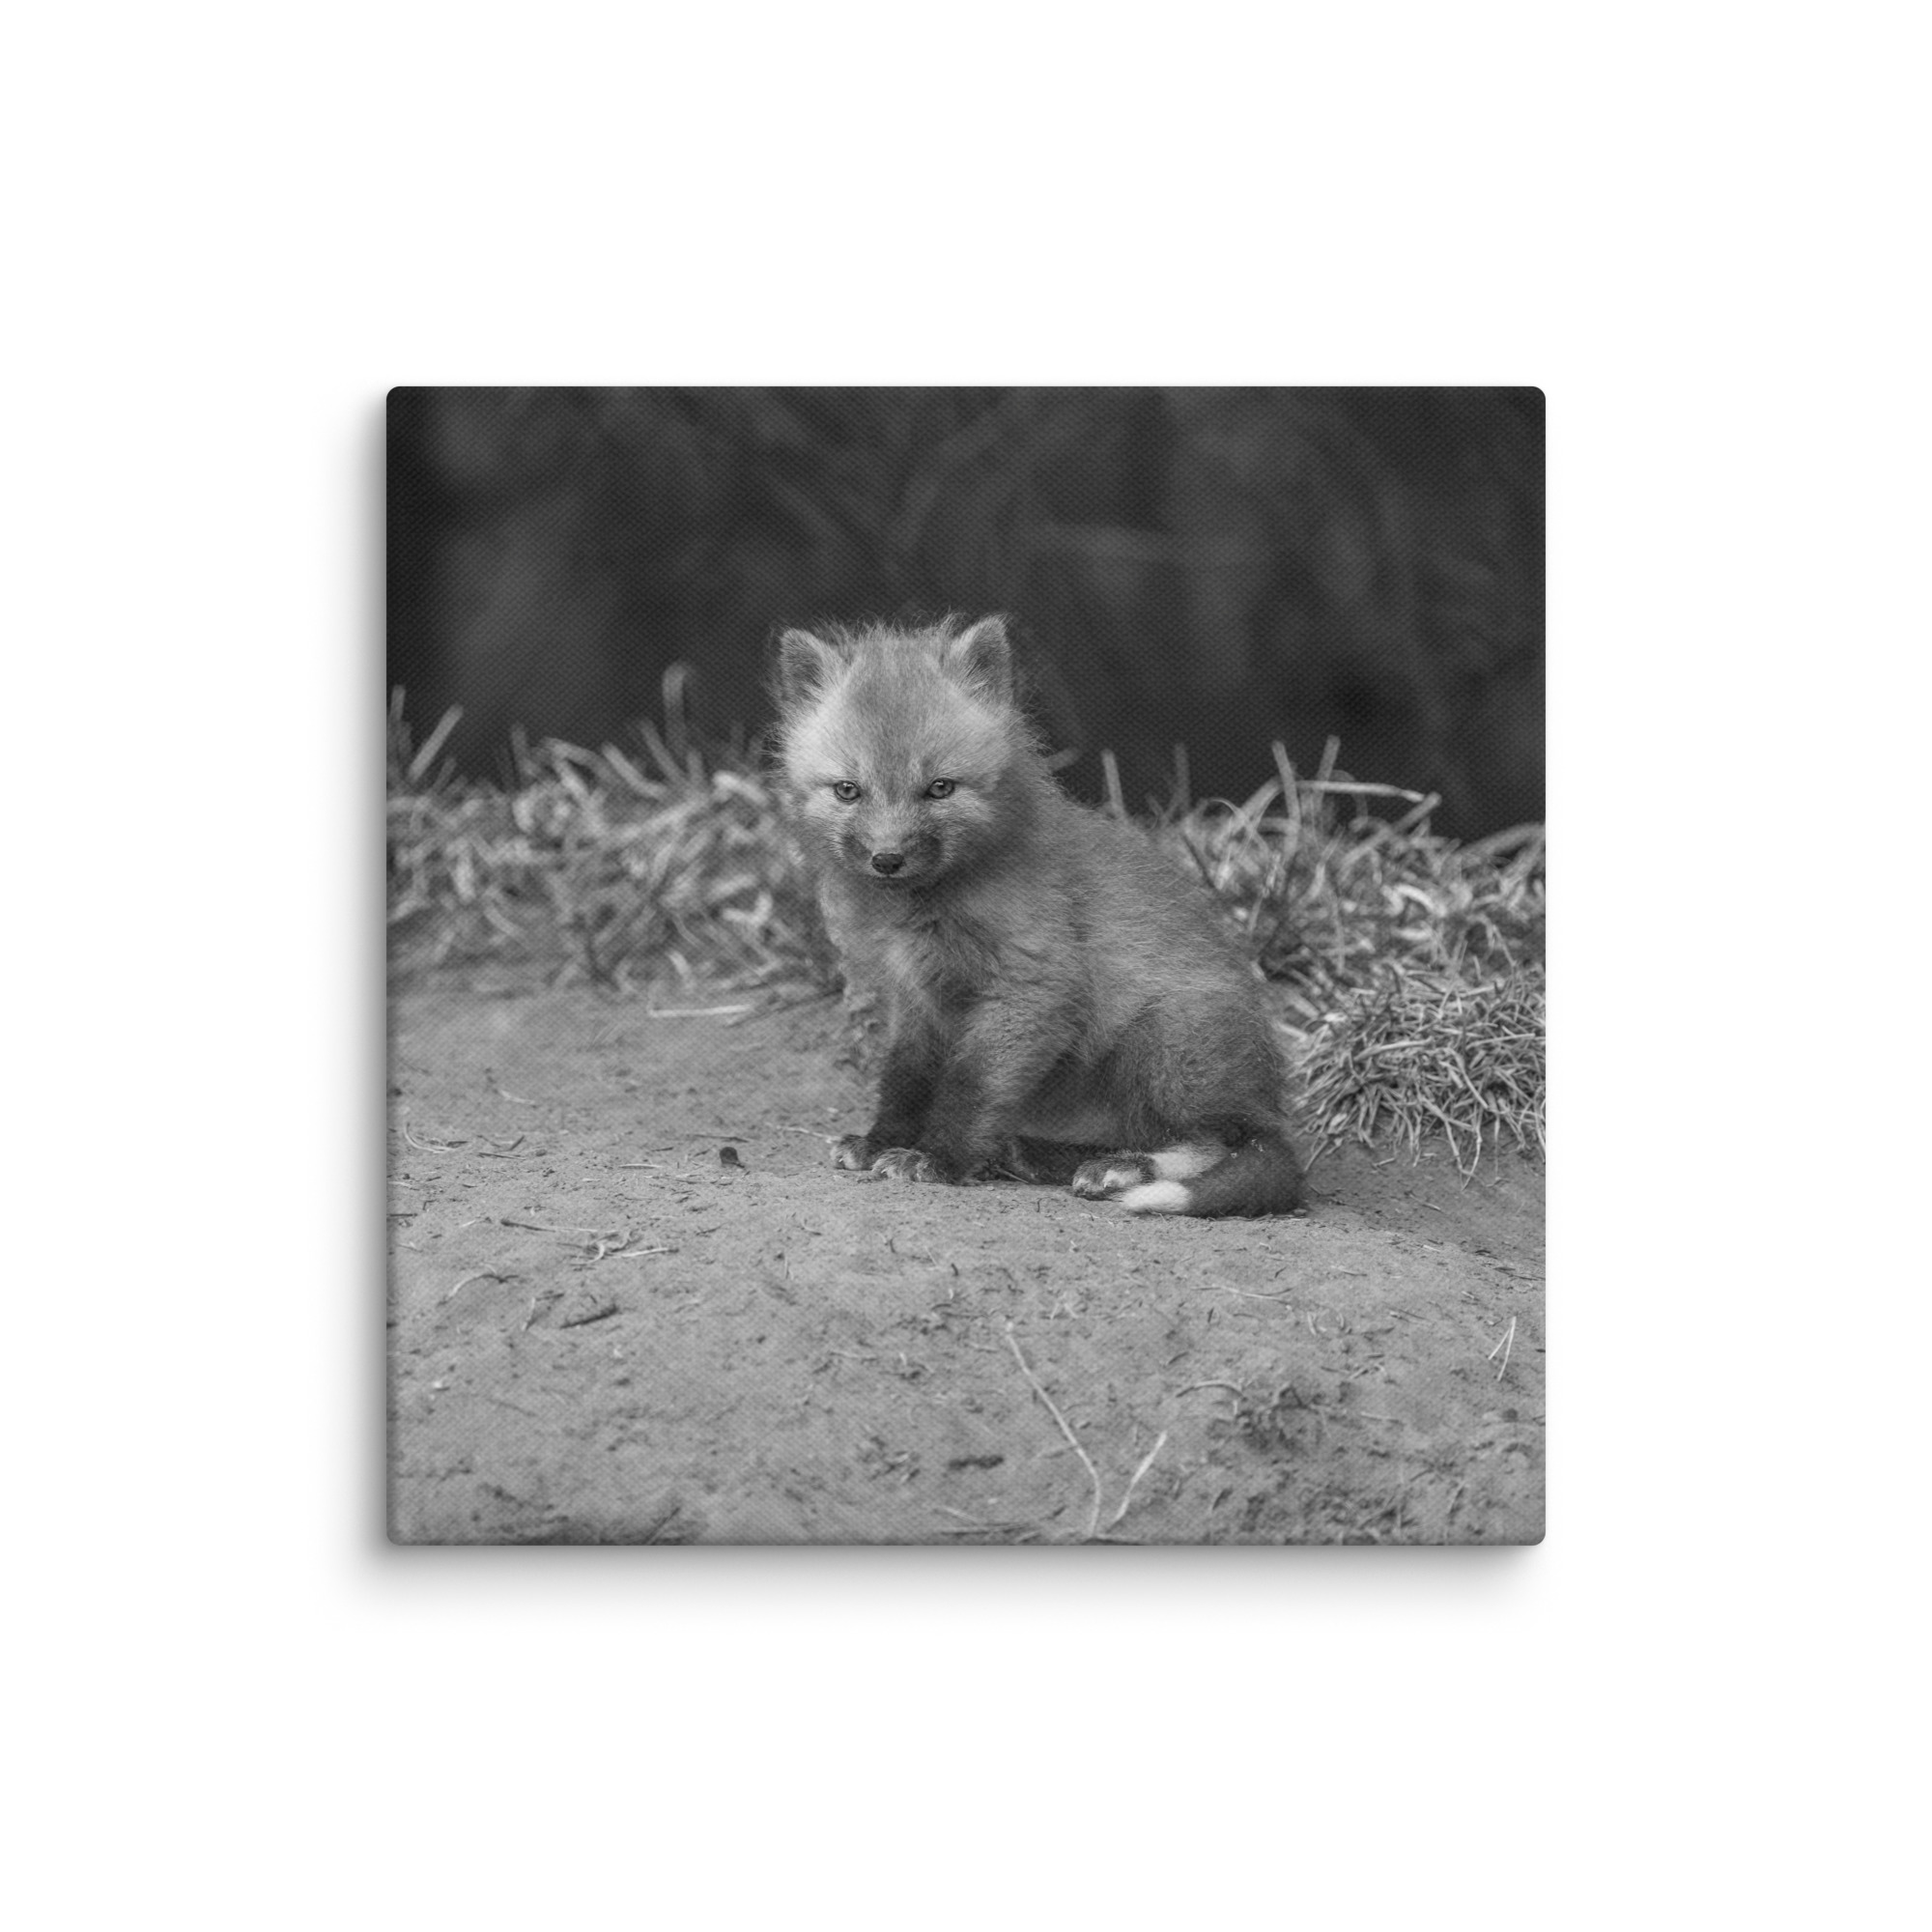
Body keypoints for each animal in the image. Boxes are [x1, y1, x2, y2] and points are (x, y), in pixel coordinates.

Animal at [773, 613, 1306, 1218]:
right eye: (848, 790)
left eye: (939, 788)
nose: (887, 859)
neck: (928, 912)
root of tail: (1265, 1095)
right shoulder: (917, 999)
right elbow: (906, 1078)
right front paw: (882, 1140)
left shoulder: (1032, 986)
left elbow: (972, 1086)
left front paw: (937, 1158)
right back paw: (1034, 1154)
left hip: (1164, 1041)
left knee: (1227, 1143)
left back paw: (1122, 1169)